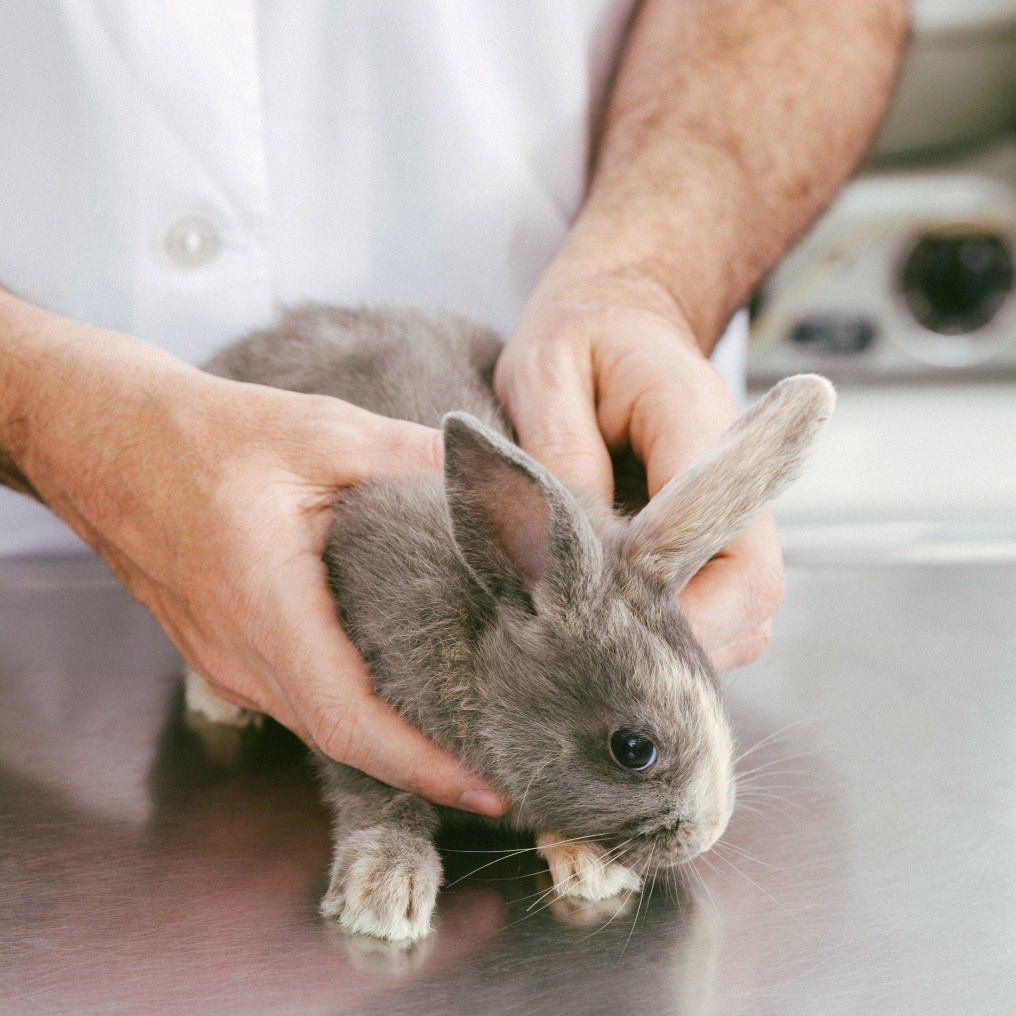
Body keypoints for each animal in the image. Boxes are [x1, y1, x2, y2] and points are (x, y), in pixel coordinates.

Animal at [182, 302, 833, 942]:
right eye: (633, 749)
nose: (707, 835)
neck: (476, 652)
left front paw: (589, 867)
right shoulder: (356, 713)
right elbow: (381, 799)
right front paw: (384, 892)